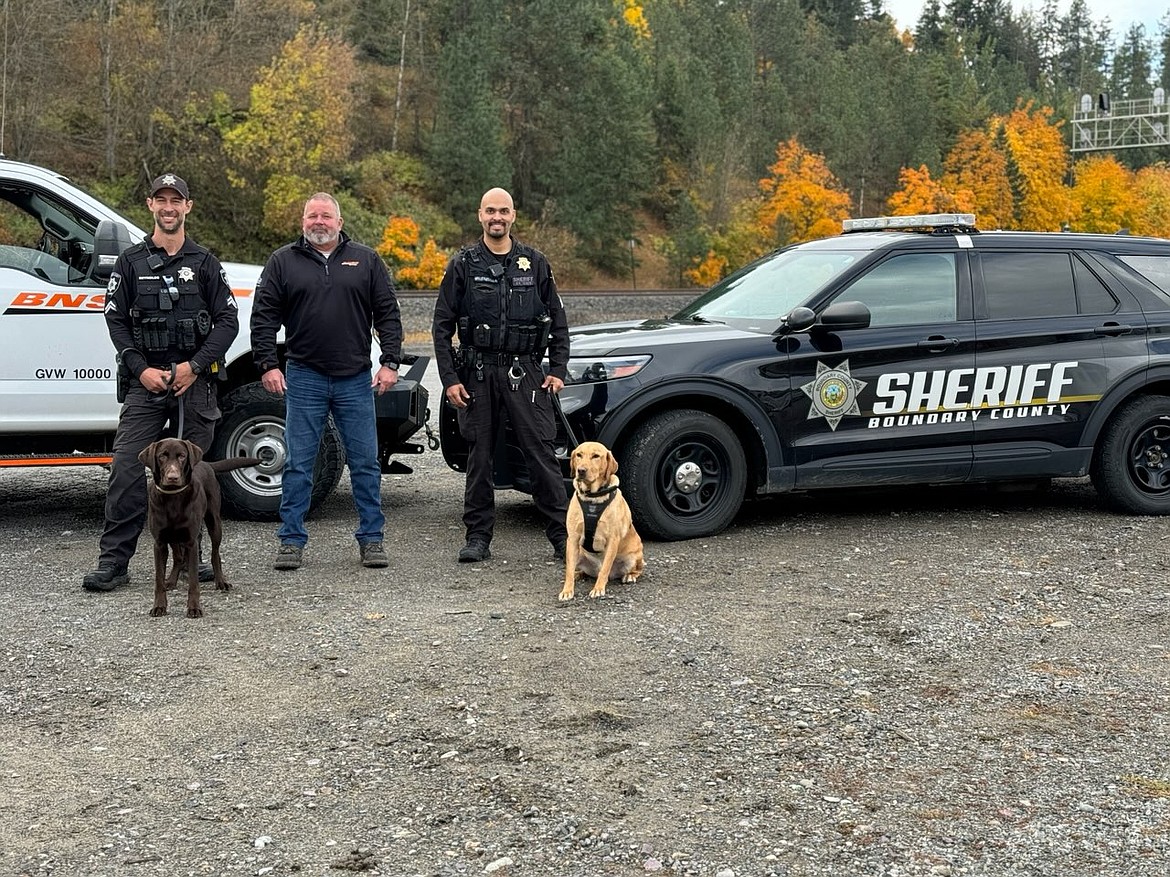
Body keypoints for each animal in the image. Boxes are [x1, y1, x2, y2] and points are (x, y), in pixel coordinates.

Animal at [559, 442, 645, 603]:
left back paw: (629, 576)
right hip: (579, 553)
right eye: (579, 455)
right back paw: (578, 574)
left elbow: (605, 568)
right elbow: (569, 569)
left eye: (596, 456)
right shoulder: (572, 539)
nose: (581, 470)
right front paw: (567, 590)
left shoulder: (612, 540)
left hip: (633, 557)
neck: (592, 497)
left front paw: (598, 589)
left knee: (635, 570)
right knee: (578, 569)